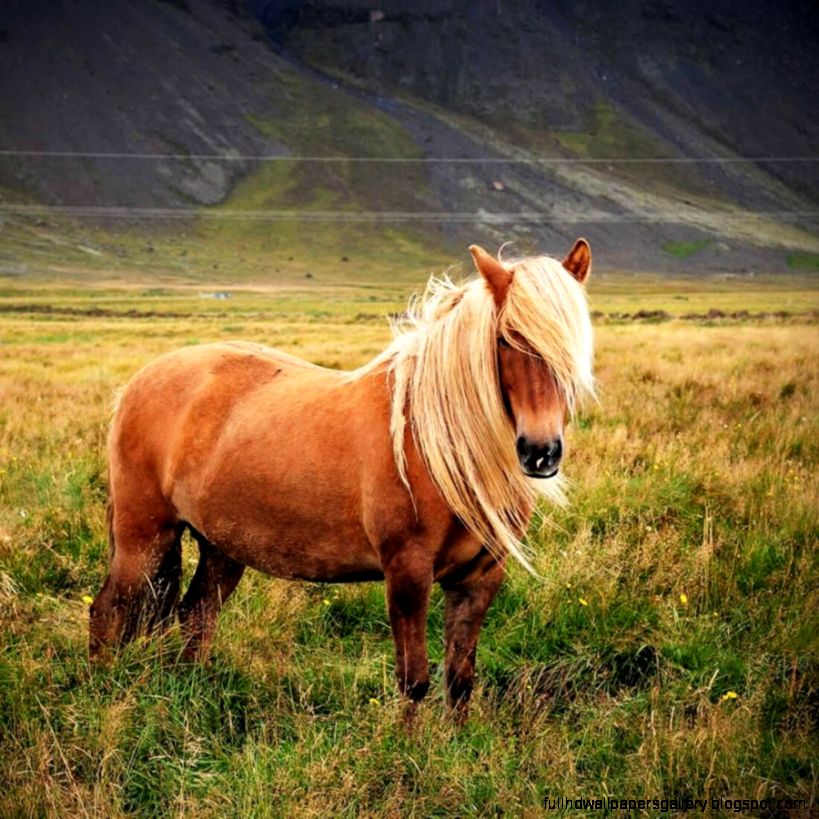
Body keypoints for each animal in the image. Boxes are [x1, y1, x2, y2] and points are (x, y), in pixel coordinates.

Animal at [89, 239, 595, 720]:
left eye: (577, 343)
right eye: (507, 340)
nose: (540, 452)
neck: (444, 446)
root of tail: (141, 380)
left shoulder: (480, 579)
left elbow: (459, 680)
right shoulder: (407, 572)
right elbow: (415, 681)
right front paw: (408, 752)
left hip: (221, 547)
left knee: (196, 615)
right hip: (144, 537)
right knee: (109, 611)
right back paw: (103, 693)